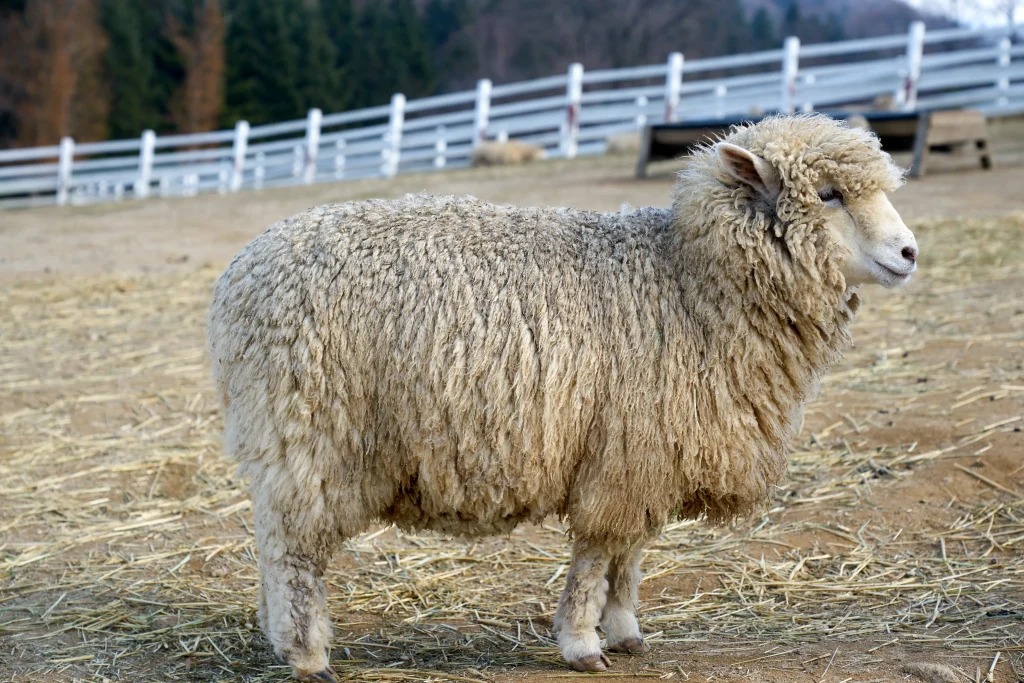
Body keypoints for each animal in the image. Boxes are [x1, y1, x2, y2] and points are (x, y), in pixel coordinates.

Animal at [207, 114, 921, 679]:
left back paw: (278, 640)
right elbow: (597, 555)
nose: (910, 253)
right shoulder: (623, 451)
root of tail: (238, 279)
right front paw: (582, 643)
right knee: (294, 552)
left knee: (271, 540)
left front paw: (627, 631)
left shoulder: (649, 456)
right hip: (309, 431)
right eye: (828, 195)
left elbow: (631, 555)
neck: (686, 281)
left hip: (285, 442)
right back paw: (308, 655)